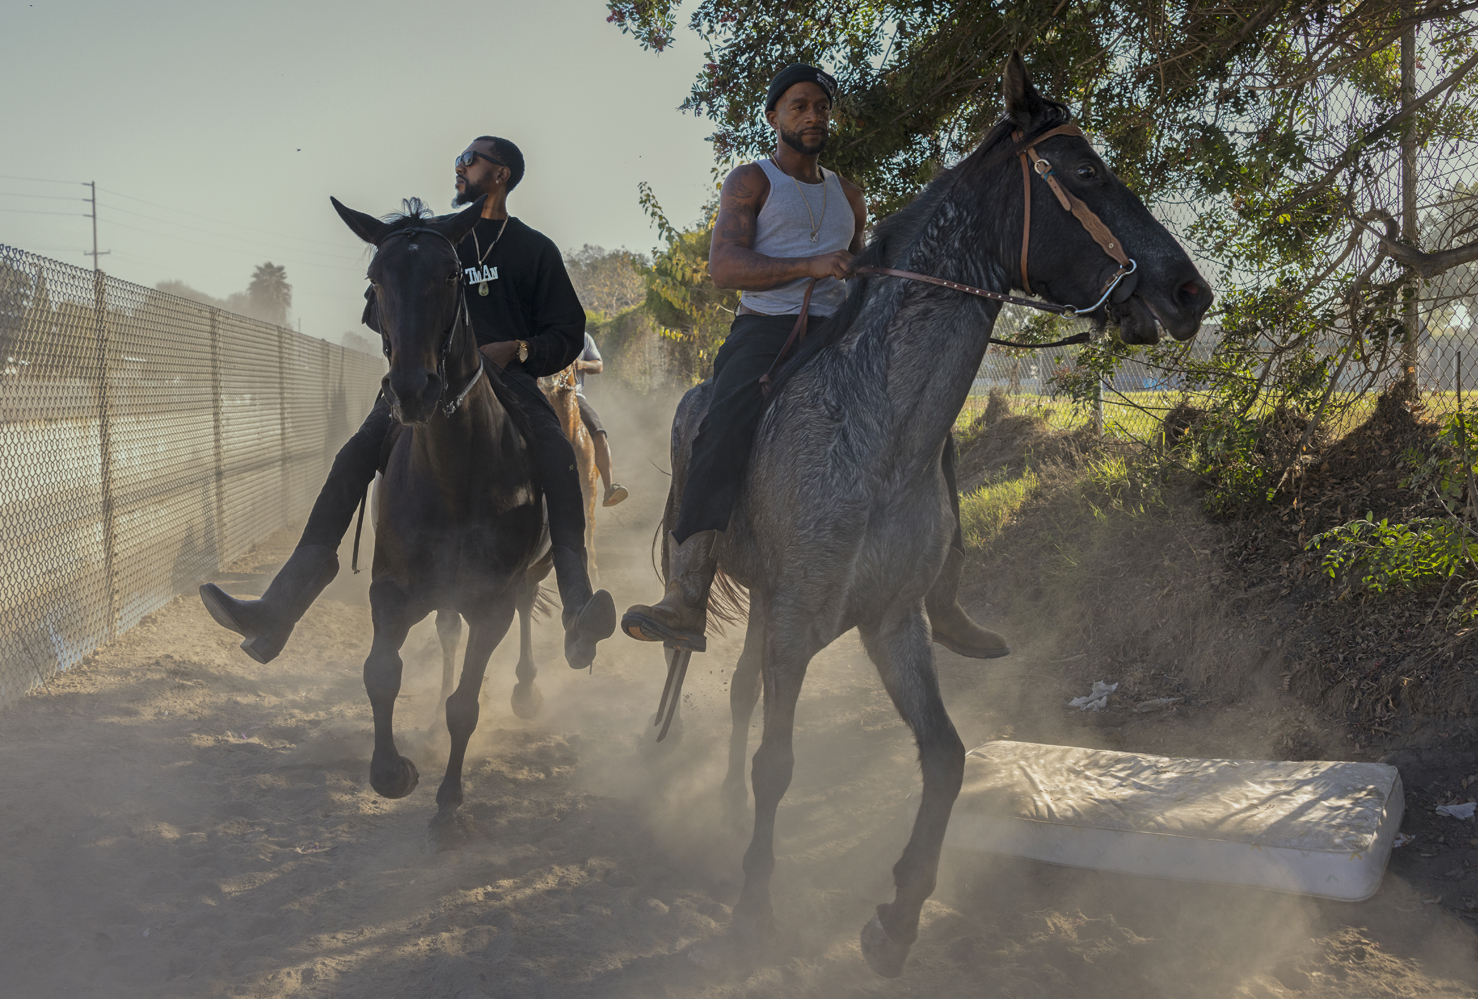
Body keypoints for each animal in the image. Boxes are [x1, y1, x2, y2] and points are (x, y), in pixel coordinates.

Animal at [329, 195, 549, 851]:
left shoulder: (491, 602)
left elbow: (466, 705)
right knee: (447, 637)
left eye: (452, 276)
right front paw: (394, 771)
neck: (454, 475)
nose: (412, 389)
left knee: (526, 608)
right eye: (376, 279)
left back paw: (526, 688)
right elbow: (381, 673)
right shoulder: (392, 591)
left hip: (526, 576)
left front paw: (449, 804)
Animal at [656, 54, 1211, 975]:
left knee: (738, 694)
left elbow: (945, 758)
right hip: (715, 580)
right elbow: (779, 760)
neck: (874, 435)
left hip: (773, 605)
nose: (1188, 290)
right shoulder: (799, 622)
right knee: (684, 651)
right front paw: (755, 906)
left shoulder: (891, 622)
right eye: (1085, 171)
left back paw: (729, 813)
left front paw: (898, 916)